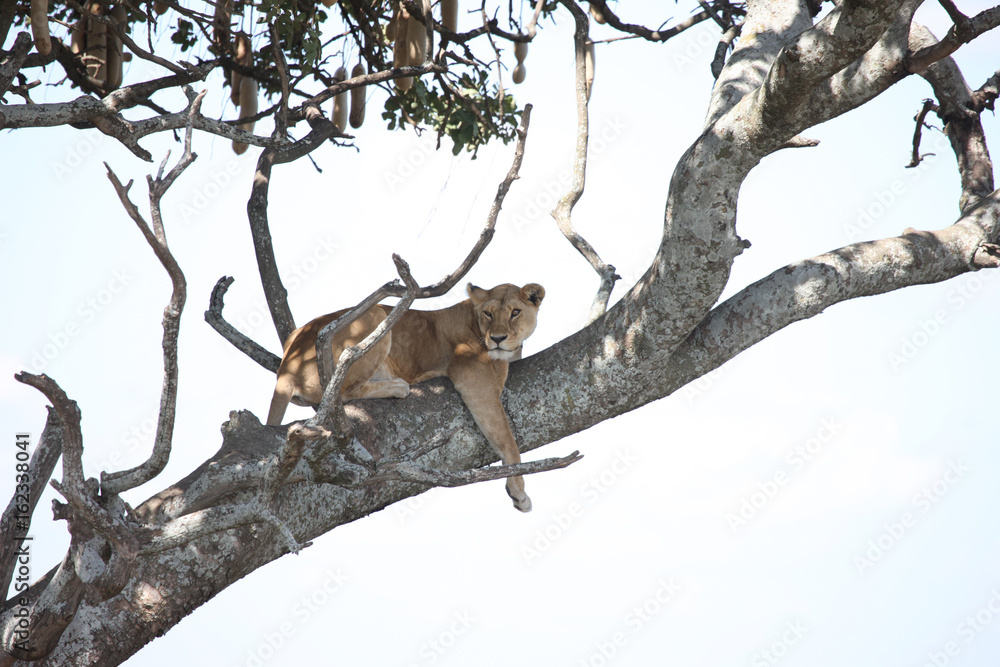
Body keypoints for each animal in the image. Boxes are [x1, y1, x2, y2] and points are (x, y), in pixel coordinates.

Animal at [266, 282, 546, 512]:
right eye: (489, 314)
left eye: (515, 312)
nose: (497, 339)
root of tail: (286, 368)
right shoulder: (476, 381)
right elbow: (507, 439)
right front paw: (518, 492)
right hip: (376, 316)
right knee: (341, 393)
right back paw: (400, 386)